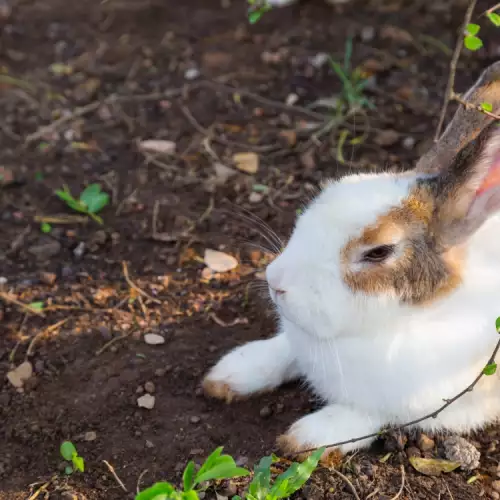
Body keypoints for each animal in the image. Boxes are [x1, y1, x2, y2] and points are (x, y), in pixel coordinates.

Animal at [202, 63, 500, 460]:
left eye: (378, 252)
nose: (275, 282)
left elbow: (371, 414)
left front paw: (308, 437)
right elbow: (283, 351)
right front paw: (230, 374)